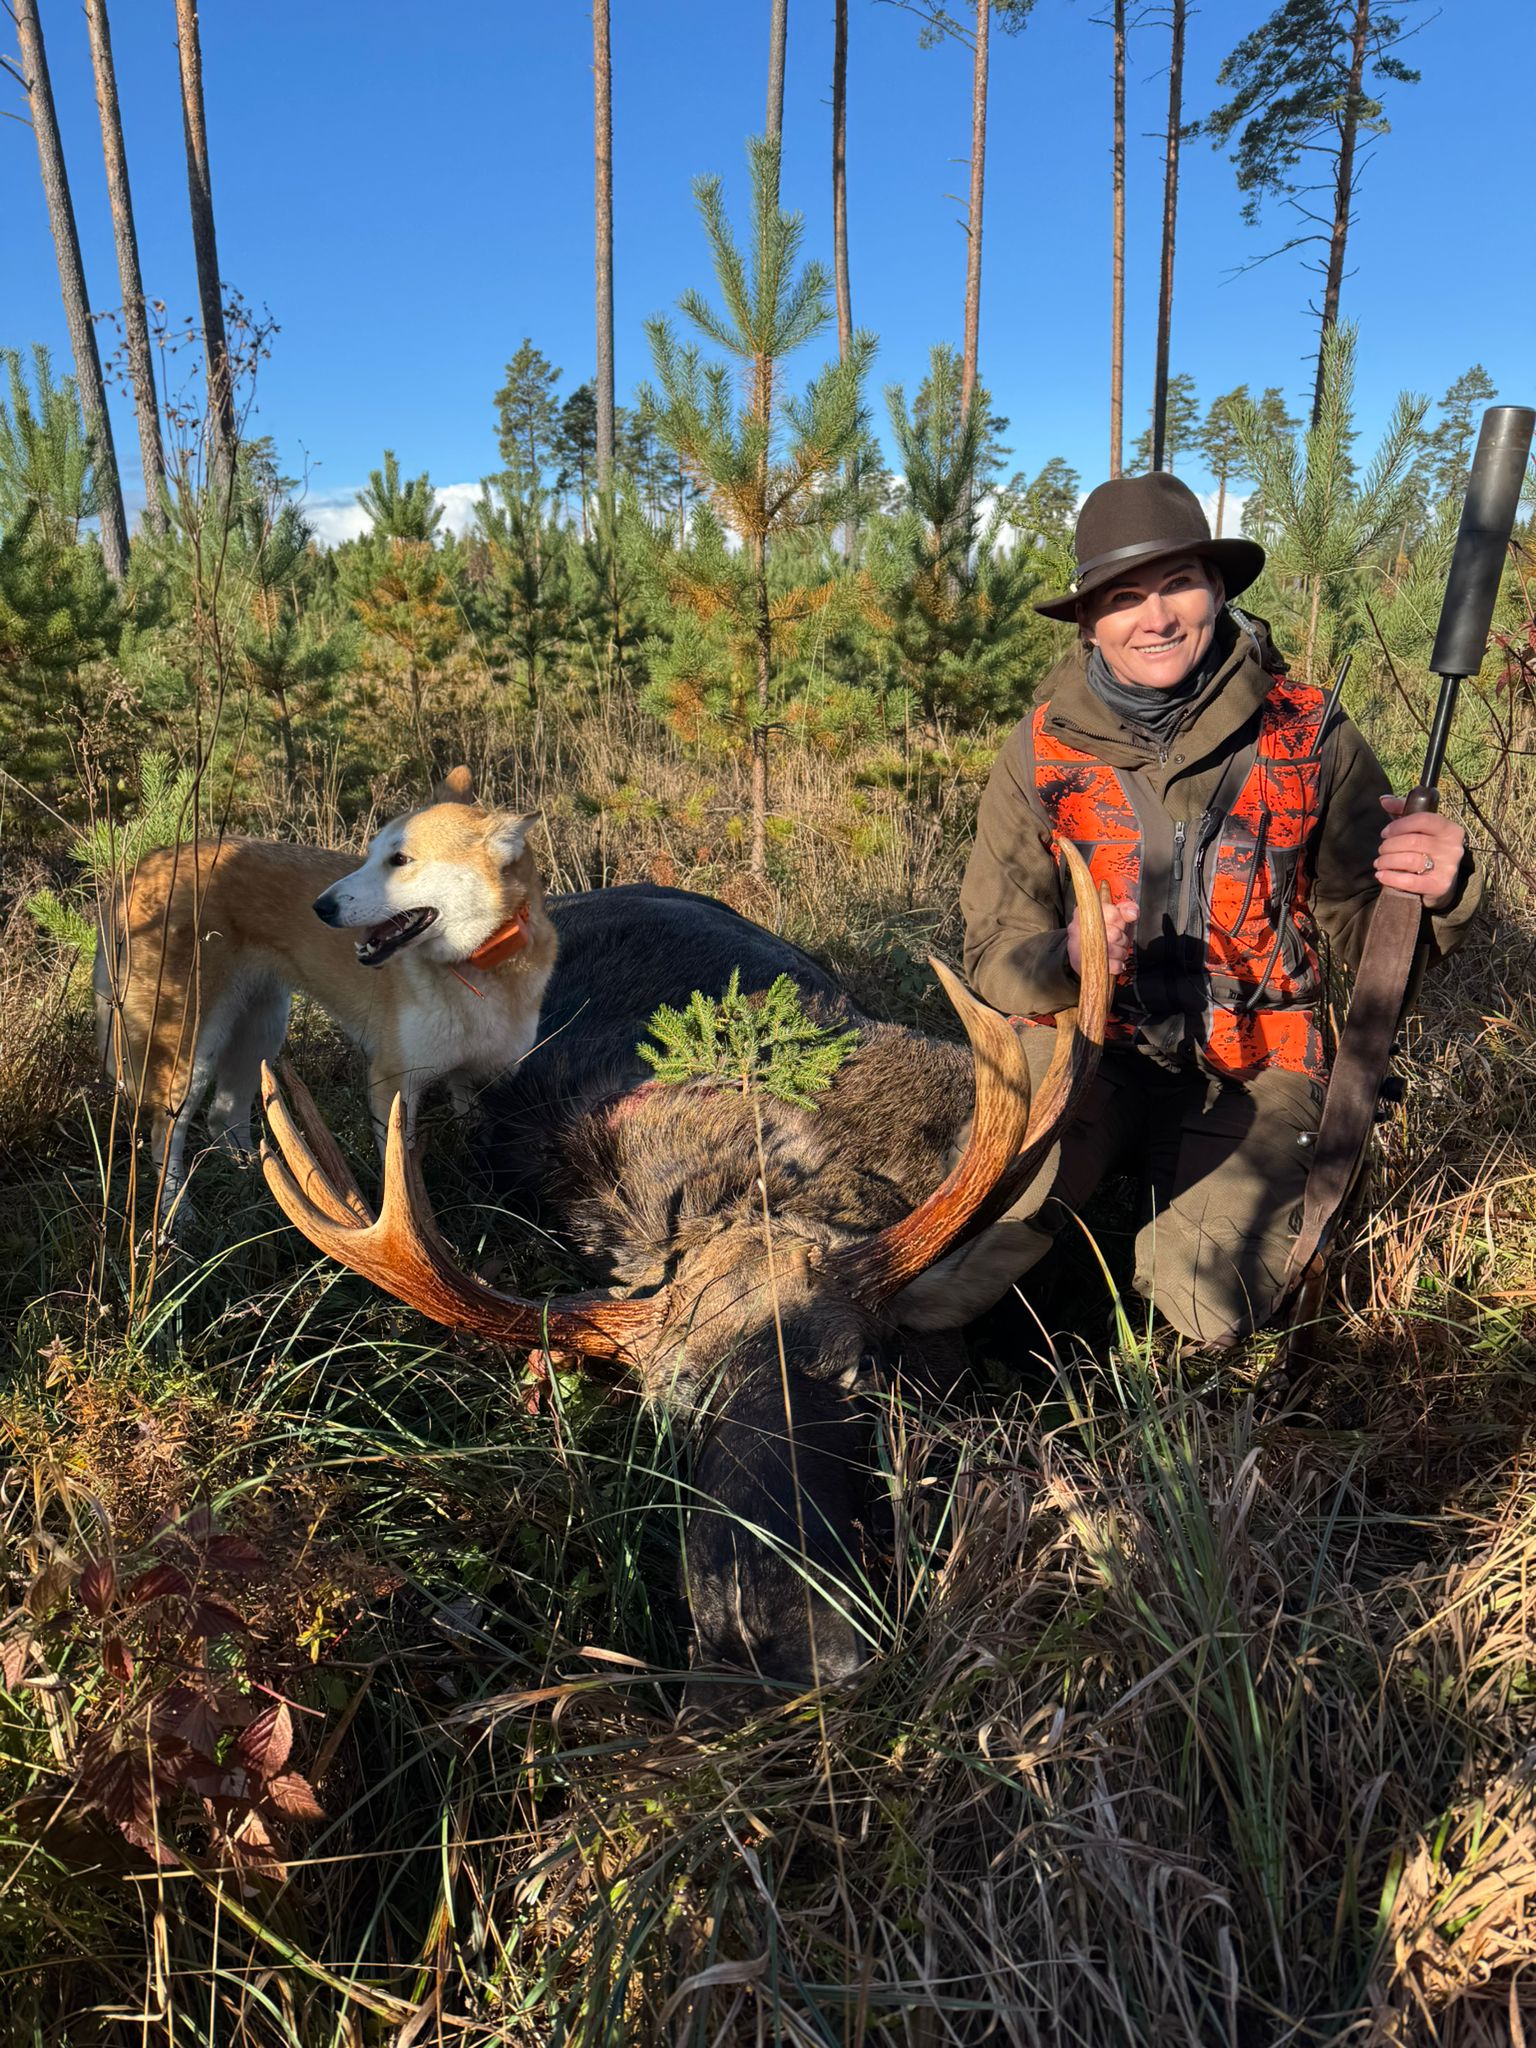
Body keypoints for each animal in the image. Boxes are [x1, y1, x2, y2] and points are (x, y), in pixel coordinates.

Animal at [94, 766, 556, 1216]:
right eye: (370, 855)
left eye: (400, 859)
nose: (320, 907)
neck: (477, 969)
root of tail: (144, 865)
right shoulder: (394, 1084)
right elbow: (403, 1177)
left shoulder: (483, 1081)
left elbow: (480, 1151)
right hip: (190, 1053)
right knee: (165, 1135)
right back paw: (176, 1216)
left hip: (260, 1034)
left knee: (224, 1118)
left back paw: (261, 1184)